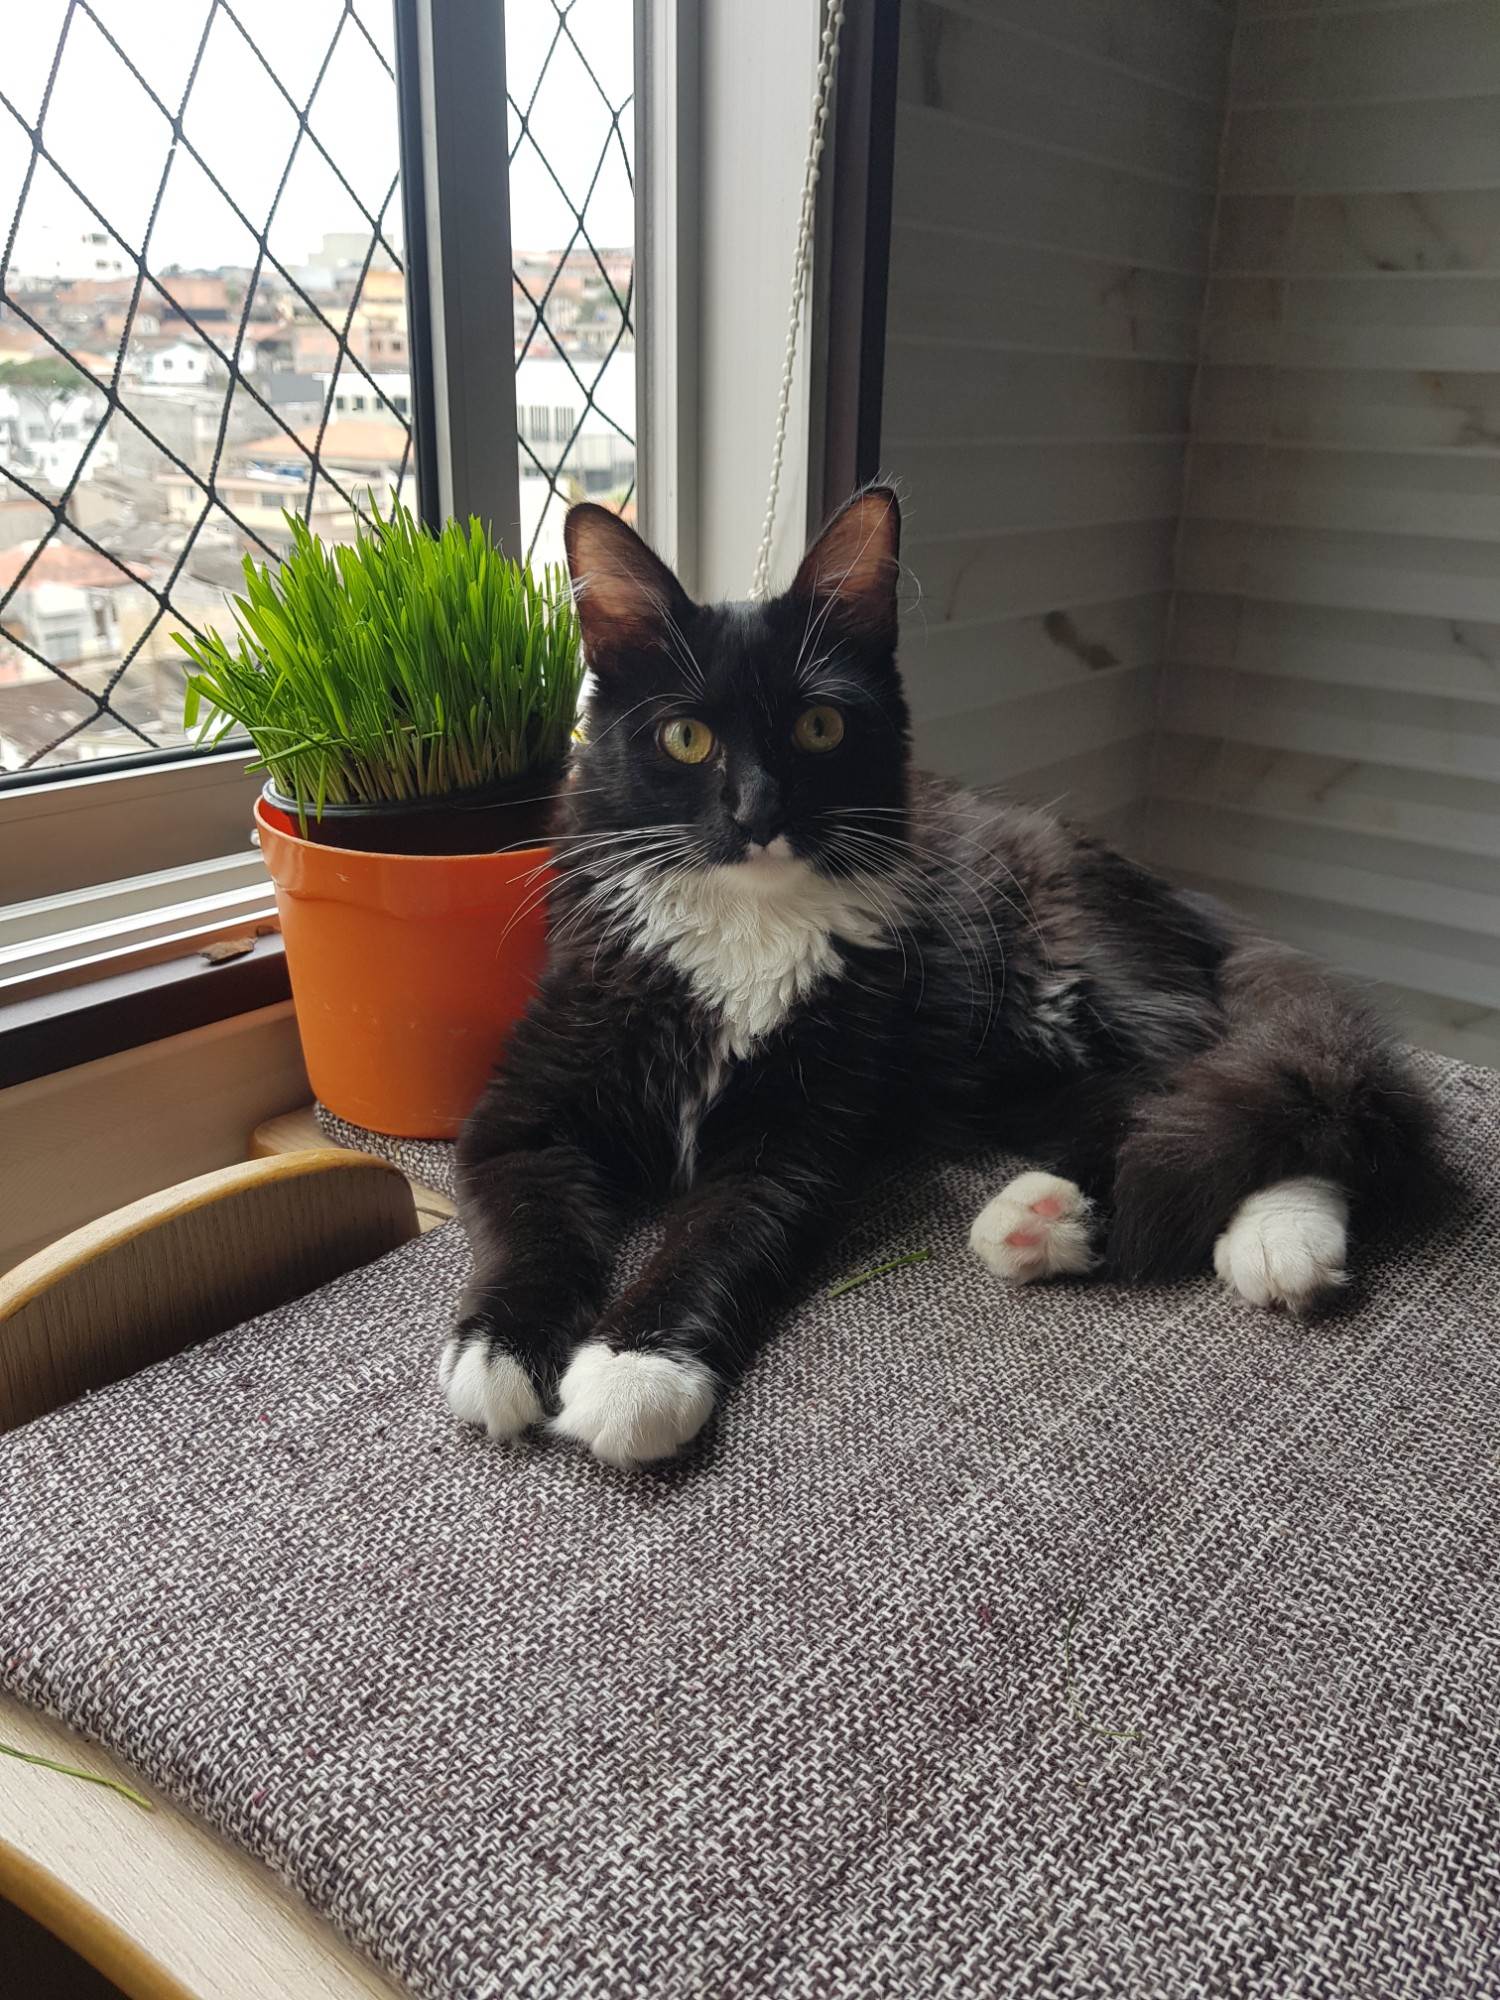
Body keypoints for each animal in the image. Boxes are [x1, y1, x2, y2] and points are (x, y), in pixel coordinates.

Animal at [442, 488, 1437, 1469]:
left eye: (819, 727)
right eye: (686, 738)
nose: (759, 812)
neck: (747, 929)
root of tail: (1182, 904)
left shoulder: (795, 1140)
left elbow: (715, 1236)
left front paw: (635, 1373)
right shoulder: (525, 1110)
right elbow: (530, 1220)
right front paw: (499, 1350)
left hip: (1080, 977)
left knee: (1251, 1079)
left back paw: (1281, 1238)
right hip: (998, 1077)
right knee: (1151, 1104)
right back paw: (1043, 1220)